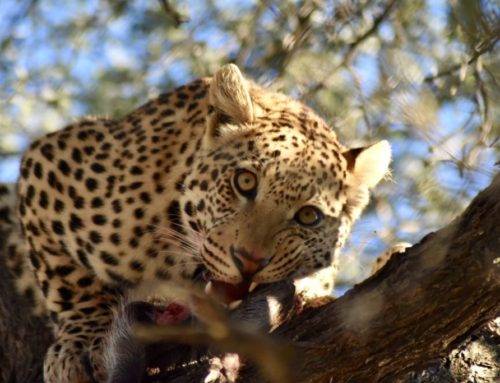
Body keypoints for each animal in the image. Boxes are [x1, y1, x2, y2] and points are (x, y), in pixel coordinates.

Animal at [14, 64, 390, 382]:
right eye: (245, 182)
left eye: (309, 216)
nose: (249, 262)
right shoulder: (50, 163)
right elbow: (70, 283)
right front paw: (80, 344)